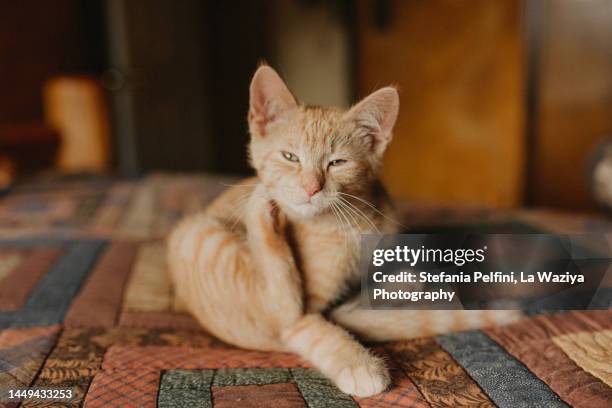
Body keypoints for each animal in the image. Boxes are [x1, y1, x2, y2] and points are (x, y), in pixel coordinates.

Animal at [169, 65, 520, 396]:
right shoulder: (307, 310)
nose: (311, 187)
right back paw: (260, 206)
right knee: (280, 303)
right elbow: (312, 325)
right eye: (290, 157)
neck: (348, 223)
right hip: (198, 239)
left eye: (337, 163)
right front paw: (359, 365)